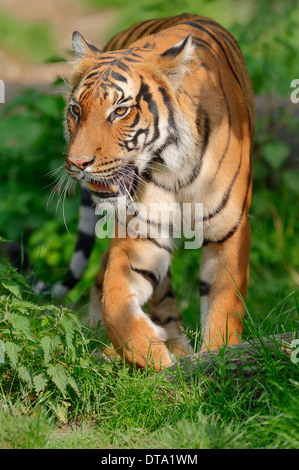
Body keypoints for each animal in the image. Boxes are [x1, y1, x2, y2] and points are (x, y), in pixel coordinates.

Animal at [62, 11, 255, 370]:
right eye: (76, 110)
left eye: (120, 110)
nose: (77, 163)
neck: (176, 166)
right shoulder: (142, 231)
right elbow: (115, 304)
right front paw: (156, 360)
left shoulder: (230, 230)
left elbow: (223, 305)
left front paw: (220, 358)